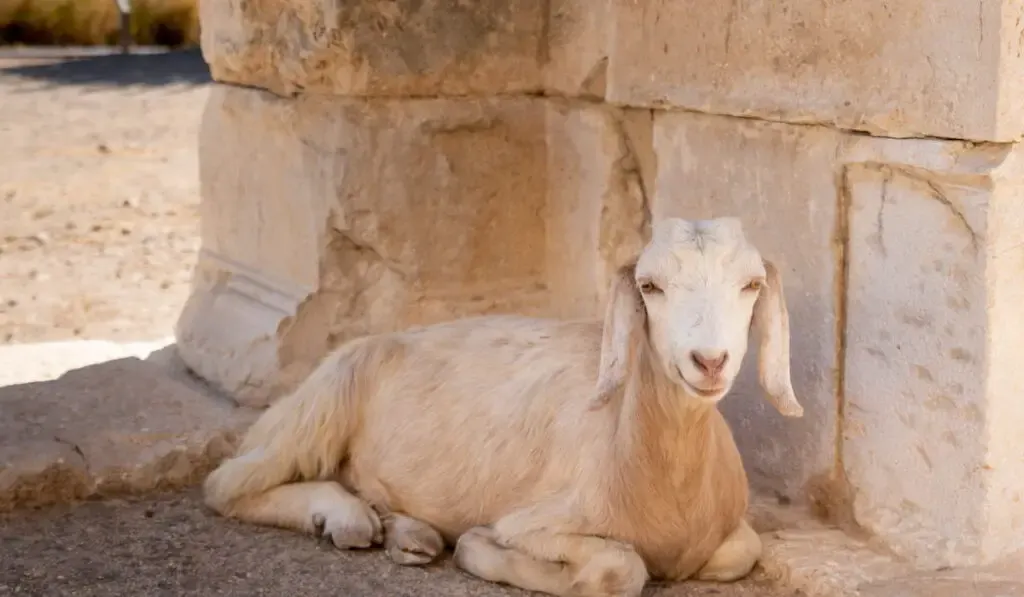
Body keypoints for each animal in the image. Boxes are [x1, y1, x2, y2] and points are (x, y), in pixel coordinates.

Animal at [203, 217, 802, 597]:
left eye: (751, 285)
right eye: (650, 286)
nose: (710, 361)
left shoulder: (730, 536)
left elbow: (743, 550)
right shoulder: (537, 521)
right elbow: (620, 569)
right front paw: (479, 548)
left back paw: (406, 531)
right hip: (323, 399)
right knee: (227, 485)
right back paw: (348, 518)